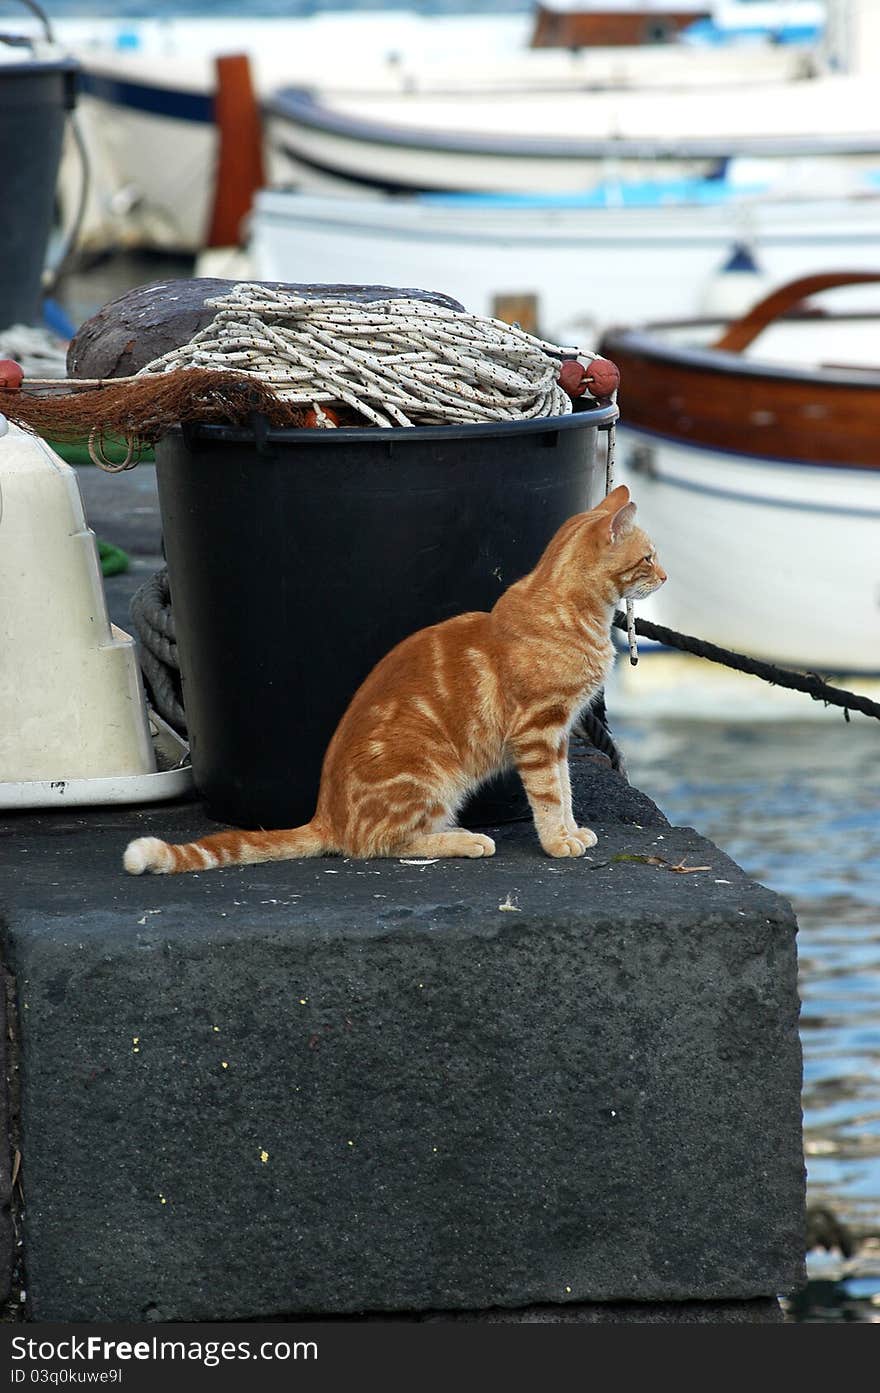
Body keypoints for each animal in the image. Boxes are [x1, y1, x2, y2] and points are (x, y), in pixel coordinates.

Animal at [121, 479, 660, 869]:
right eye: (650, 557)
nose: (665, 576)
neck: (569, 609)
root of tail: (326, 817)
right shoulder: (538, 731)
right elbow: (549, 794)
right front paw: (556, 842)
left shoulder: (560, 733)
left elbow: (565, 790)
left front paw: (571, 830)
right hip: (431, 774)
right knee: (380, 844)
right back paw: (461, 841)